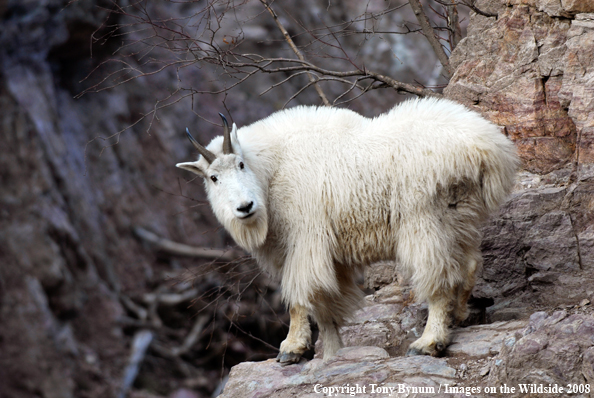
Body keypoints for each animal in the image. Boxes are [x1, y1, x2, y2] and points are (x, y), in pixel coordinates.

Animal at [173, 96, 516, 364]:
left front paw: (292, 349)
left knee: (439, 276)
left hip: (424, 219)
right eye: (213, 178)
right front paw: (331, 354)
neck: (273, 169)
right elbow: (327, 307)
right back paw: (458, 316)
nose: (244, 207)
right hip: (460, 215)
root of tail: (486, 148)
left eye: (241, 164)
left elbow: (300, 295)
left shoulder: (305, 238)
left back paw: (429, 342)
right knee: (468, 265)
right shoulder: (328, 255)